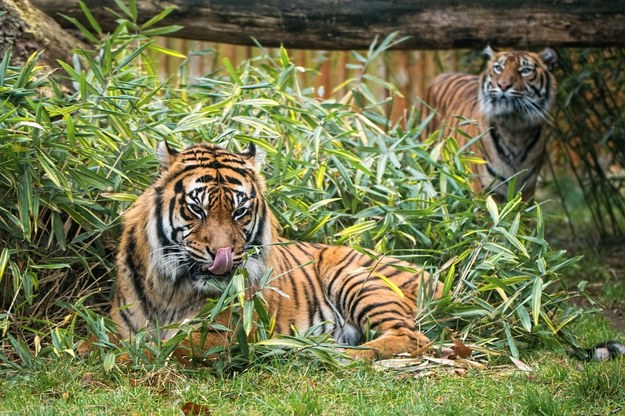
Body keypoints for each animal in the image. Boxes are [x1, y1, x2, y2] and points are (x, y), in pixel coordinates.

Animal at [111, 141, 444, 360]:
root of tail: (435, 276)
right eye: (197, 209)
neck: (171, 289)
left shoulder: (224, 331)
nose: (223, 254)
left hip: (354, 278)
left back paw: (337, 354)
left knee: (412, 337)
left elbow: (169, 348)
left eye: (240, 211)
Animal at [422, 46, 560, 202]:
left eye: (525, 70)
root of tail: (440, 75)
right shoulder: (484, 188)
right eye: (498, 68)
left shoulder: (527, 190)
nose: (503, 85)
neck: (515, 128)